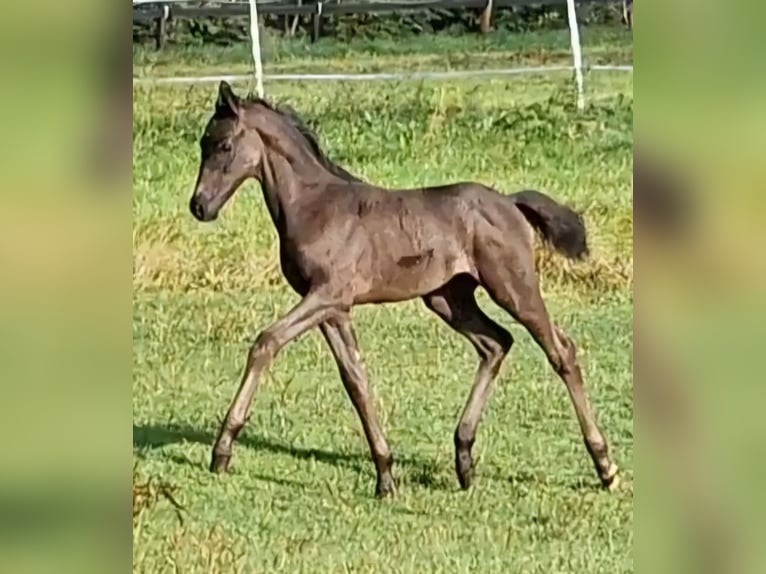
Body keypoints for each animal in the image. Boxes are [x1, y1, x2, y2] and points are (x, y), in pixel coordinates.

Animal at [189, 81, 620, 500]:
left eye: (224, 145)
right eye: (202, 144)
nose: (199, 206)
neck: (315, 206)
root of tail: (511, 203)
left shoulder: (327, 294)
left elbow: (266, 342)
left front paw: (222, 450)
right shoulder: (332, 307)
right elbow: (356, 379)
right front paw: (385, 474)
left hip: (512, 286)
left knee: (560, 350)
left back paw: (606, 467)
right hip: (448, 298)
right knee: (496, 342)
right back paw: (464, 458)